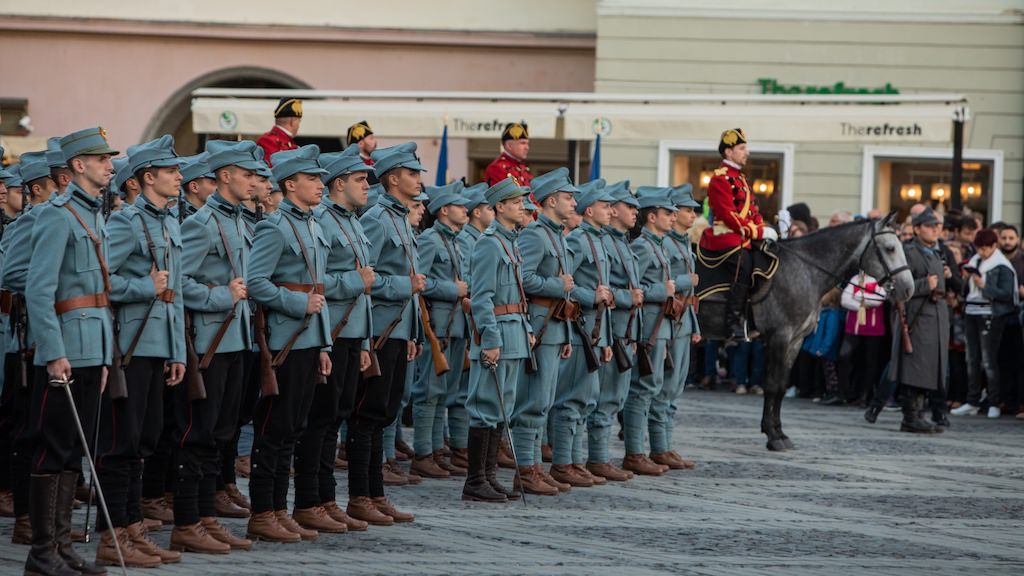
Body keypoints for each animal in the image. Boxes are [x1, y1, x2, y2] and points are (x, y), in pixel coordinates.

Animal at [696, 213, 913, 450]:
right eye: (890, 248)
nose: (909, 288)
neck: (805, 270)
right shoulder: (780, 337)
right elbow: (772, 384)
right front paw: (773, 436)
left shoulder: (795, 340)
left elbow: (781, 386)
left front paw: (779, 433)